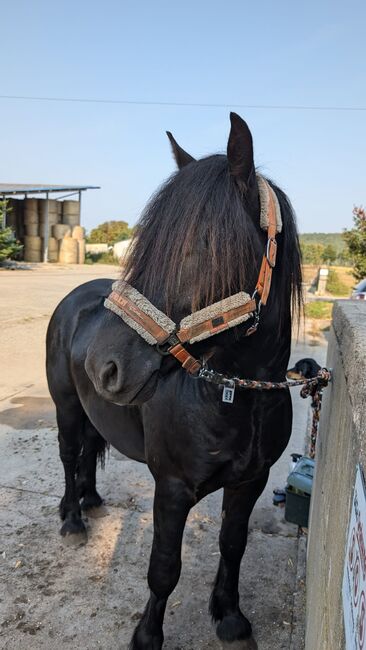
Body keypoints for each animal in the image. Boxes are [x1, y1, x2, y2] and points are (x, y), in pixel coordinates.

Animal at [47, 114, 302, 644]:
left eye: (202, 246)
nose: (104, 366)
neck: (234, 398)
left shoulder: (250, 483)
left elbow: (232, 546)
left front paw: (230, 617)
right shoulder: (172, 488)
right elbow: (164, 569)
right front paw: (147, 636)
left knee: (88, 450)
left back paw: (91, 499)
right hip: (65, 407)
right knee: (68, 455)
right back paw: (73, 519)